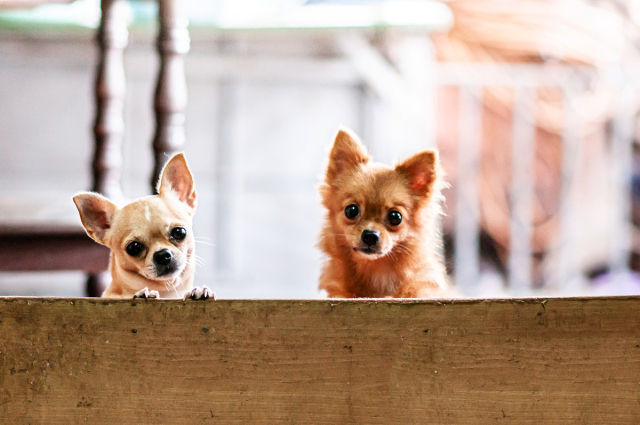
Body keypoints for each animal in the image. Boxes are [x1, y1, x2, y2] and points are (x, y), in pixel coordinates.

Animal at [72, 152, 212, 298]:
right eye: (134, 247)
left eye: (179, 232)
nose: (162, 255)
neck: (166, 293)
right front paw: (142, 294)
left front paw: (198, 292)